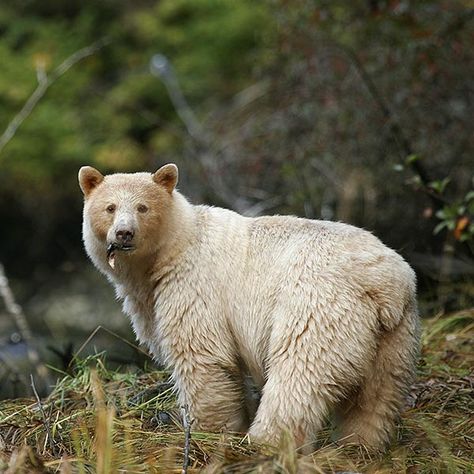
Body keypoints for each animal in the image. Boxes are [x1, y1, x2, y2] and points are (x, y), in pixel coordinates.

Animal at [79, 165, 420, 450]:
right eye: (110, 207)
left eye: (143, 207)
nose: (124, 233)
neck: (172, 249)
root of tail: (384, 283)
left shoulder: (194, 285)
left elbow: (202, 356)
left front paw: (207, 432)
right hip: (394, 334)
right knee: (377, 395)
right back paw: (359, 445)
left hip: (318, 307)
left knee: (299, 376)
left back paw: (265, 442)